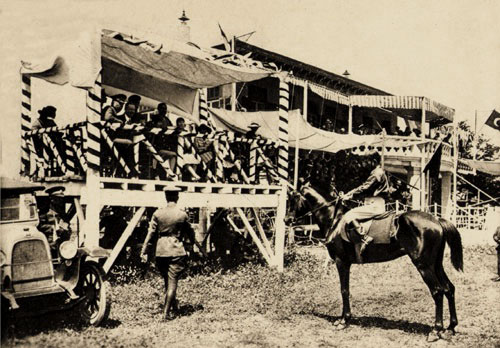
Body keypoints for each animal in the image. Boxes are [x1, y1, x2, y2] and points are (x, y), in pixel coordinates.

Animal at [288, 184, 462, 342]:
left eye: (293, 199)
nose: (286, 219)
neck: (334, 219)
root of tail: (436, 220)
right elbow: (345, 290)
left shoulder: (341, 262)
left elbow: (344, 290)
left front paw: (344, 320)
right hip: (436, 265)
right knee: (449, 288)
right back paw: (450, 328)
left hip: (424, 266)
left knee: (438, 291)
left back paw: (435, 330)